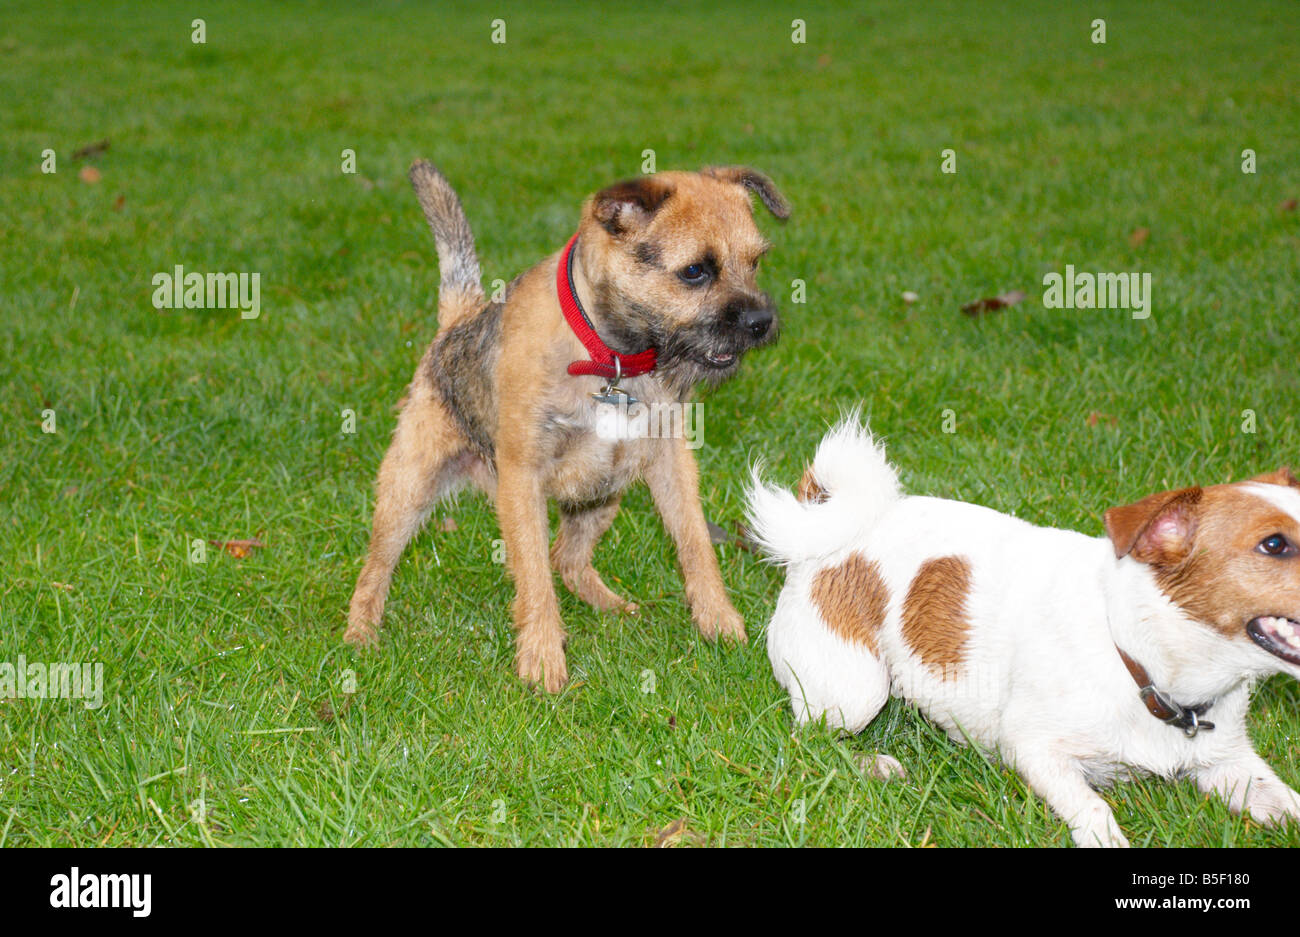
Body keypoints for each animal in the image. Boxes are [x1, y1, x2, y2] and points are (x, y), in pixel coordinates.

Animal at [345, 159, 785, 686]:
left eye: (756, 261)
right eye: (696, 271)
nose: (762, 321)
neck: (609, 358)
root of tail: (459, 318)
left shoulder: (672, 465)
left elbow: (696, 543)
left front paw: (719, 622)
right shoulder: (521, 482)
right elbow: (533, 576)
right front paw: (541, 659)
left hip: (604, 492)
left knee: (568, 558)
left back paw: (612, 605)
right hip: (407, 489)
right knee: (376, 566)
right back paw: (360, 633)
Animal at [748, 415, 1300, 842]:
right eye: (1274, 545)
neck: (1138, 657)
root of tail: (821, 541)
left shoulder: (1230, 763)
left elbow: (1285, 800)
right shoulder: (1036, 750)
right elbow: (1094, 807)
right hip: (854, 694)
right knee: (808, 742)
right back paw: (877, 765)